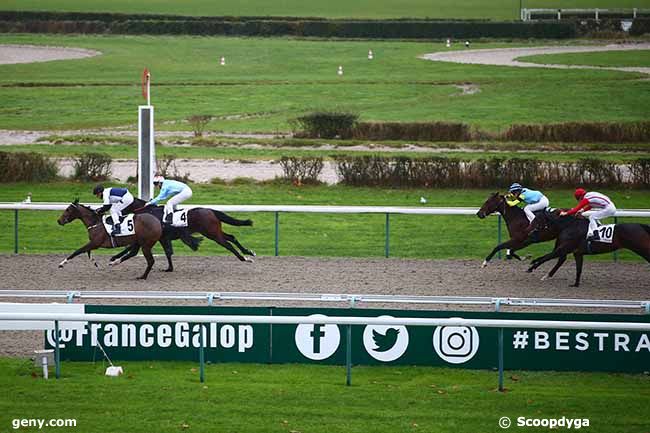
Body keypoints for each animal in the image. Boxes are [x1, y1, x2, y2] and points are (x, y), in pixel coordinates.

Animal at [110, 197, 254, 266]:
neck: (148, 212)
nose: (115, 216)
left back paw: (244, 258)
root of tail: (210, 210)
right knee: (231, 237)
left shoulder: (152, 237)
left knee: (227, 244)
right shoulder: (160, 238)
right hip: (214, 231)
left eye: (118, 204)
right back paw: (249, 252)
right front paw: (114, 257)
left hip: (212, 233)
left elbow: (131, 248)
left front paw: (114, 258)